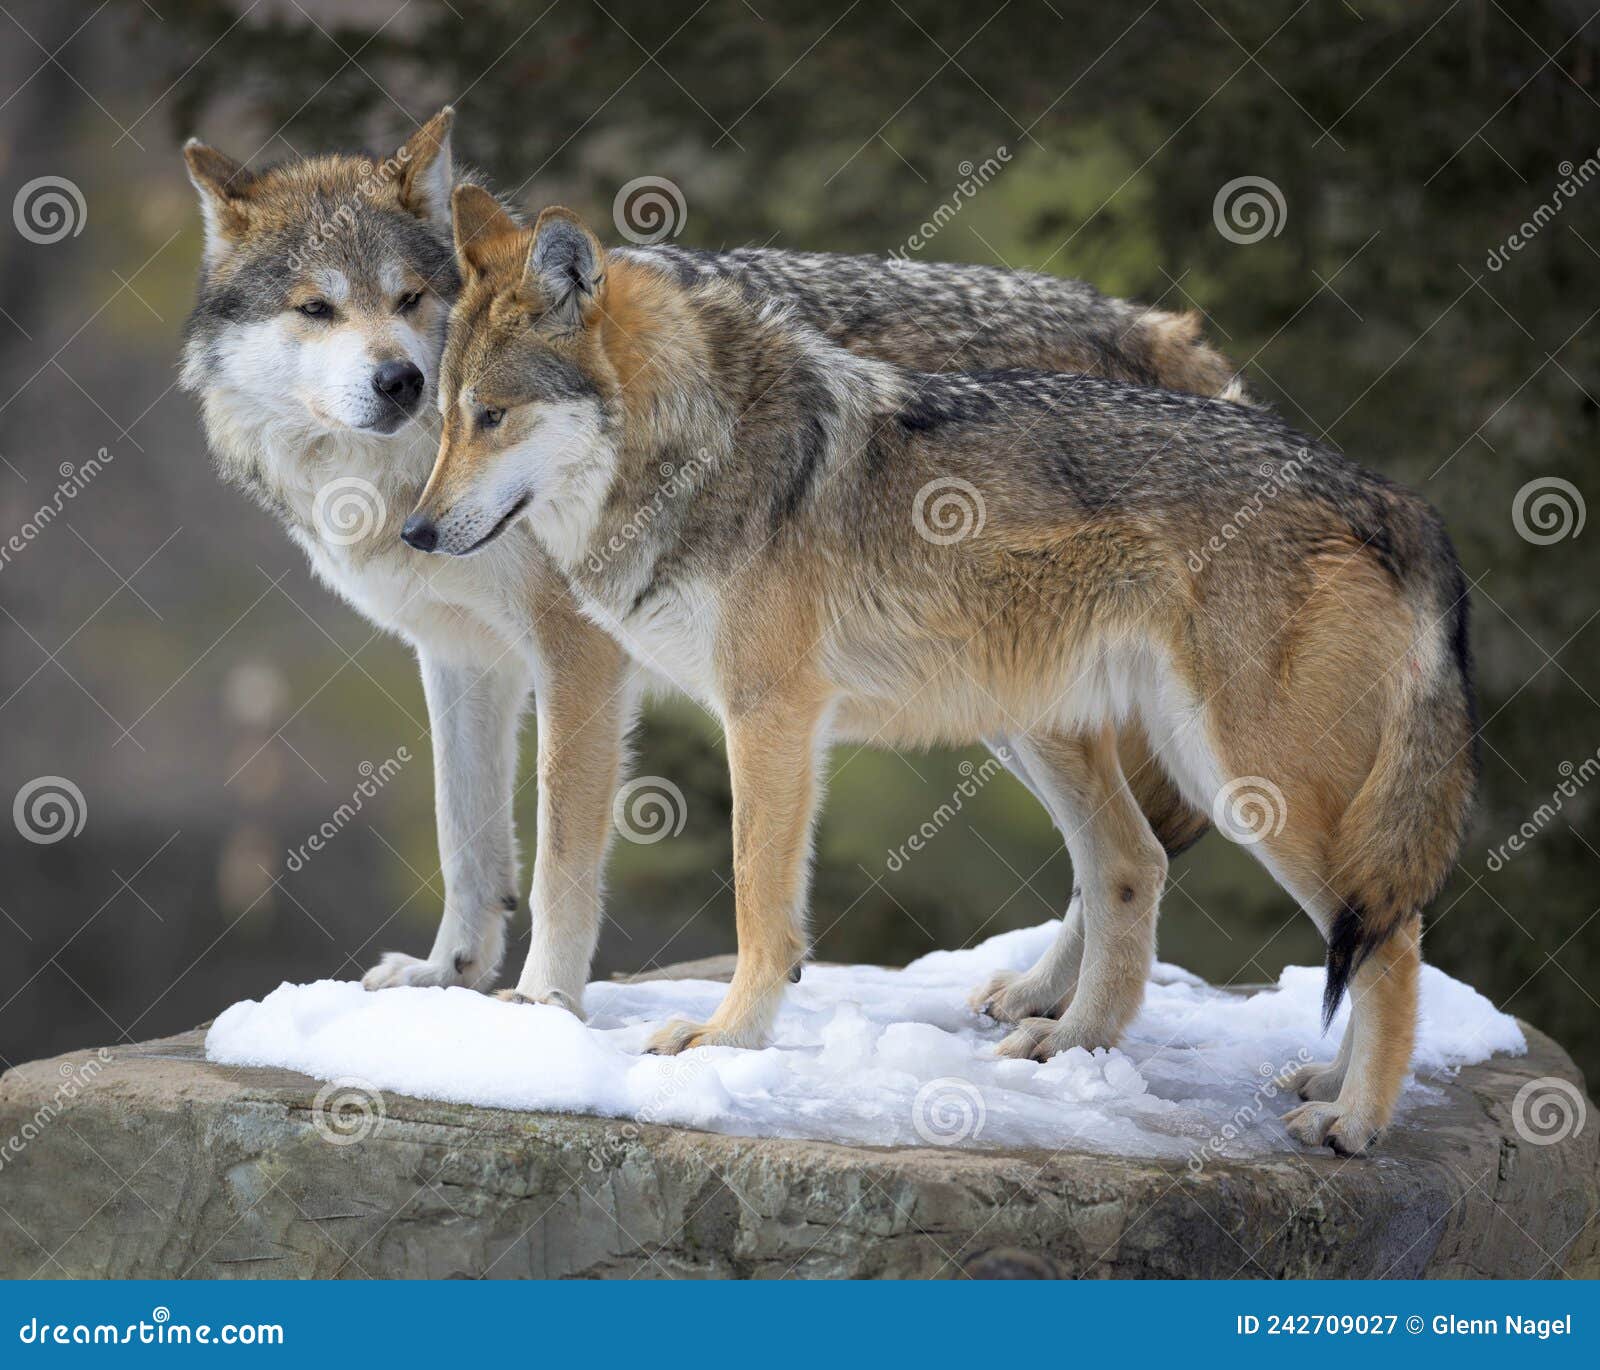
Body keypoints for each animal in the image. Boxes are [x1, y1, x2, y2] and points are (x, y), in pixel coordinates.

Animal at [181, 107, 1241, 1024]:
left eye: (408, 299)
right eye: (317, 308)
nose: (399, 380)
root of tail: (1163, 333)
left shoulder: (581, 659)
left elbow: (560, 855)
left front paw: (542, 1004)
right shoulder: (462, 659)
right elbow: (466, 835)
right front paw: (452, 976)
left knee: (1124, 852)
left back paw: (1057, 1006)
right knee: (1117, 851)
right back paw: (1046, 1002)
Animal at [409, 195, 1472, 1158]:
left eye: (492, 417)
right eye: (442, 419)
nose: (415, 531)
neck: (699, 449)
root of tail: (1389, 496)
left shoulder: (768, 716)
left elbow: (758, 902)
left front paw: (726, 1038)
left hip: (1243, 780)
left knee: (1391, 936)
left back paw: (1354, 1118)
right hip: (1055, 730)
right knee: (1145, 869)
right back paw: (1083, 1043)